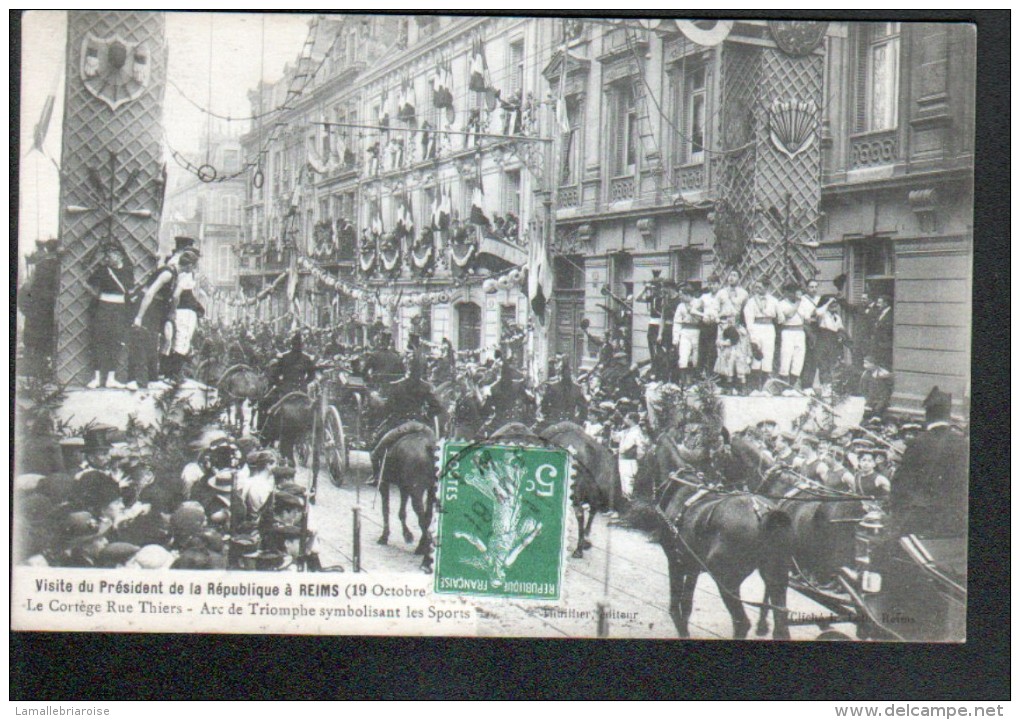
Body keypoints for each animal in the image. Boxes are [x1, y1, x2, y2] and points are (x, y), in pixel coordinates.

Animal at [375, 418, 438, 571]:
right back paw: (422, 548)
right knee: (427, 517)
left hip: (416, 493)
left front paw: (384, 537)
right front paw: (408, 535)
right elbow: (402, 512)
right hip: (430, 491)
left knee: (423, 520)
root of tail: (429, 446)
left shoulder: (384, 484)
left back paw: (426, 560)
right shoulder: (404, 487)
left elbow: (385, 510)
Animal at [628, 432, 795, 640]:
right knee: (781, 623)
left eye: (642, 458)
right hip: (776, 576)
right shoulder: (691, 564)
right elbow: (686, 604)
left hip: (726, 579)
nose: (634, 490)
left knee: (742, 623)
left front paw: (682, 629)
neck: (681, 487)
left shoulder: (675, 561)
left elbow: (675, 606)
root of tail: (763, 514)